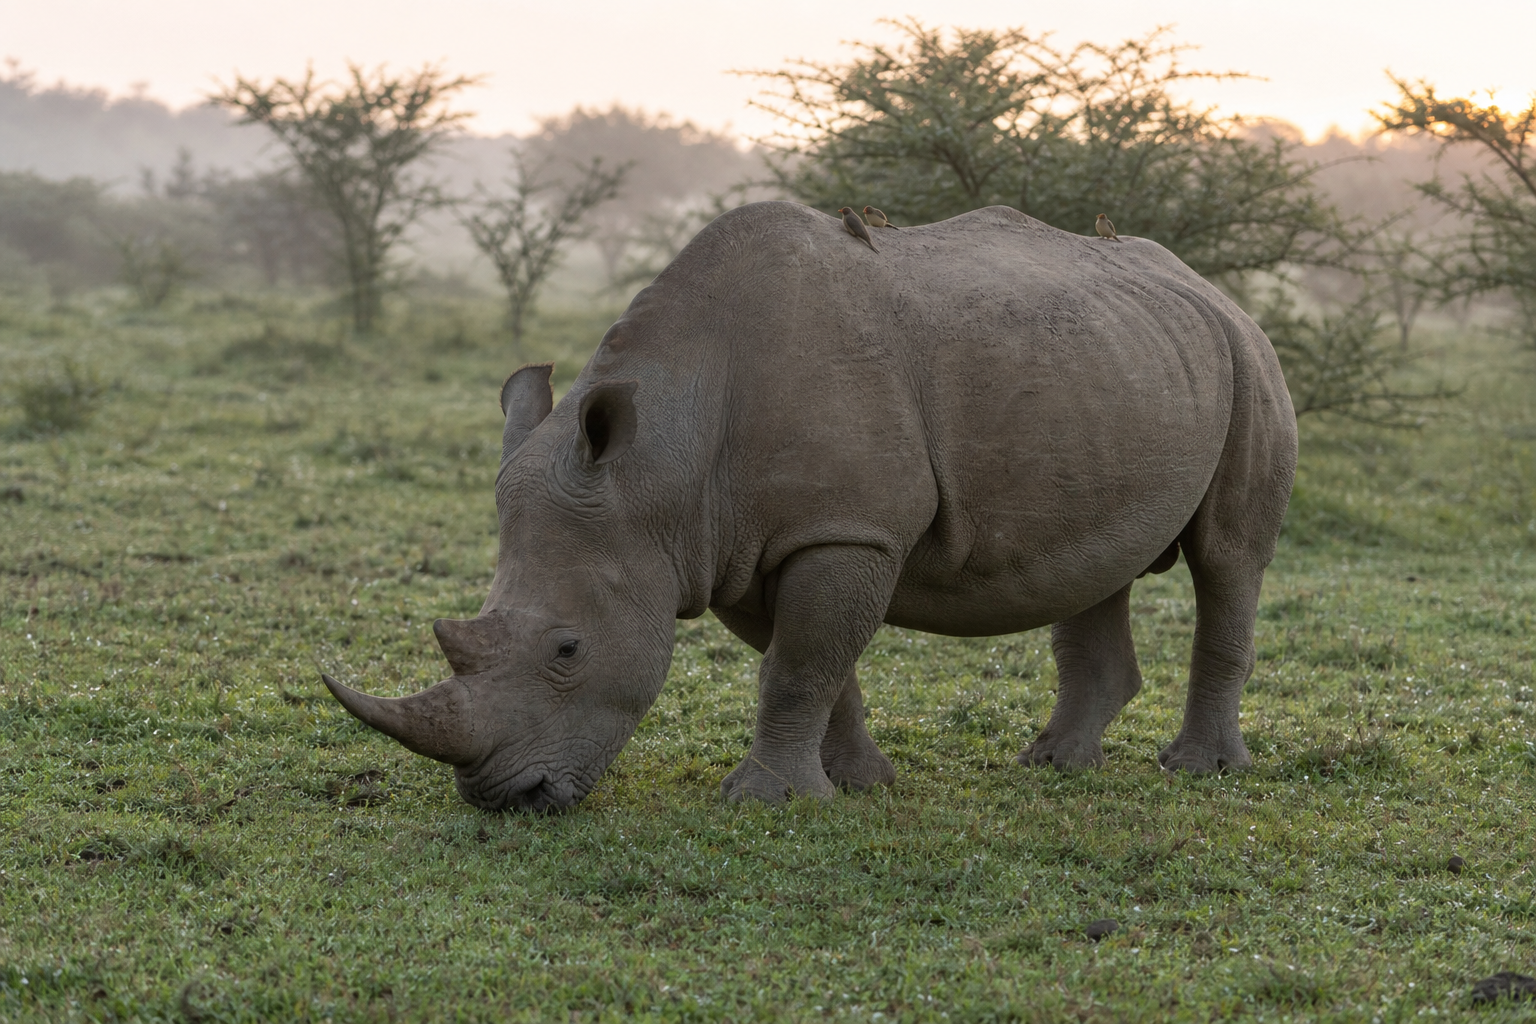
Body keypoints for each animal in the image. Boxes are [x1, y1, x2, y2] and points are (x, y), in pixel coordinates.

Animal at [322, 202, 1298, 811]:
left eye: (567, 650)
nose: (505, 800)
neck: (659, 463)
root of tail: (1209, 286)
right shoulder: (735, 545)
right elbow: (821, 668)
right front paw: (859, 784)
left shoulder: (842, 532)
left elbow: (800, 665)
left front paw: (765, 801)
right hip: (1127, 363)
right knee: (1099, 564)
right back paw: (1054, 764)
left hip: (1248, 359)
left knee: (1228, 557)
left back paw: (1199, 772)